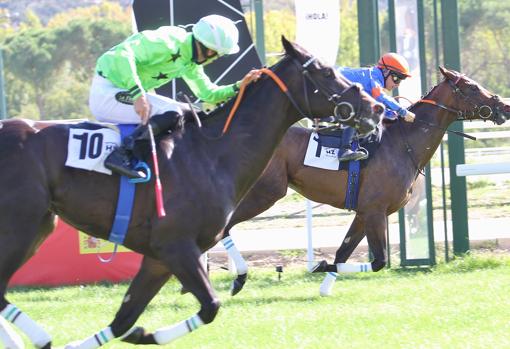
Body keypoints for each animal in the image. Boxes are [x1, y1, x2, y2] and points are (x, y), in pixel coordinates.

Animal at [0, 36, 382, 348]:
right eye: (326, 71)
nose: (376, 107)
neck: (212, 152)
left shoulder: (159, 257)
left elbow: (124, 320)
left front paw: (135, 333)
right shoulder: (176, 246)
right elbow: (211, 305)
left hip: (40, 225)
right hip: (21, 226)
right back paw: (38, 338)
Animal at [220, 66, 510, 294]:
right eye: (472, 87)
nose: (504, 107)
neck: (402, 143)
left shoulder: (363, 213)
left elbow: (343, 252)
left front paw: (324, 283)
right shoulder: (375, 211)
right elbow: (379, 261)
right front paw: (318, 265)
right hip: (266, 192)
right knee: (225, 227)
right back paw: (238, 277)